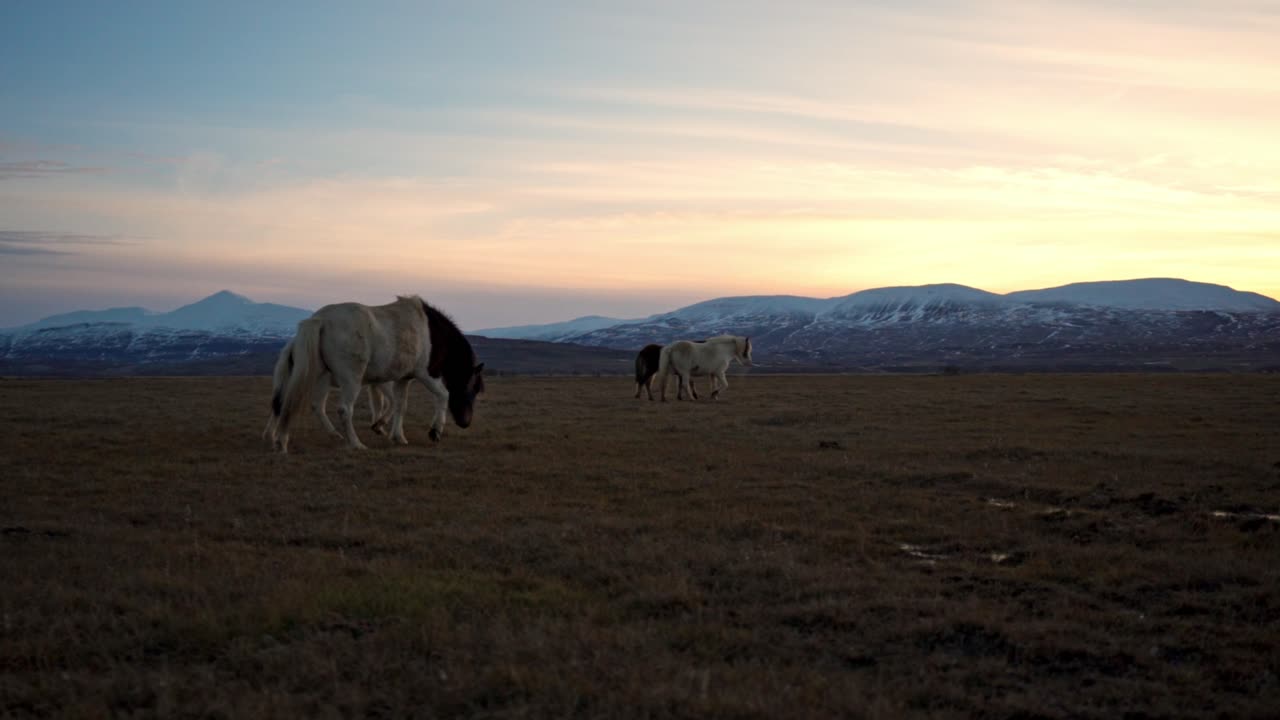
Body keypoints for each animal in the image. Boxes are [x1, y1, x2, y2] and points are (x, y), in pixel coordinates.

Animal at [265, 295, 484, 453]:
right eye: (473, 388)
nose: (466, 422)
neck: (434, 332)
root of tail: (320, 320)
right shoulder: (426, 374)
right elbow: (443, 395)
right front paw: (435, 431)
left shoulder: (403, 379)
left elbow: (400, 406)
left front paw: (397, 436)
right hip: (350, 379)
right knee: (344, 409)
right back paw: (356, 444)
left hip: (321, 377)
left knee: (308, 405)